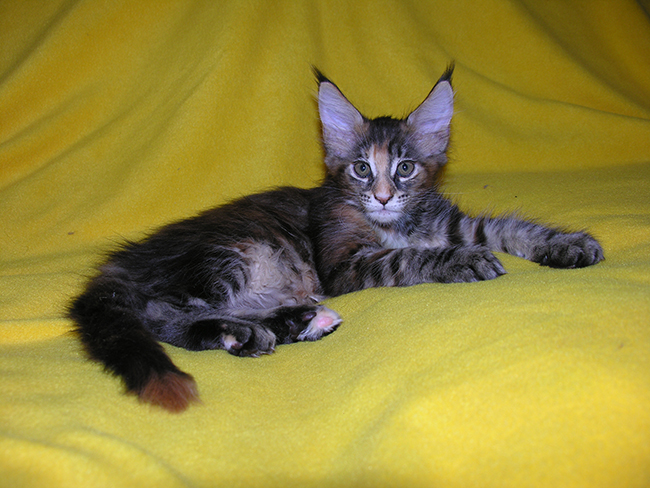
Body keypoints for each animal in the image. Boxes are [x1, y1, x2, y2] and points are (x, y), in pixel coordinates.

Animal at [68, 66, 604, 412]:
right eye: (361, 169)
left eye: (405, 168)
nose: (384, 197)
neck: (398, 225)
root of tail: (120, 264)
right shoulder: (344, 263)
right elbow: (407, 260)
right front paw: (461, 261)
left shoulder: (449, 222)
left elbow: (508, 226)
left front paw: (567, 244)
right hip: (236, 252)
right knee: (164, 315)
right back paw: (245, 332)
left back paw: (298, 322)